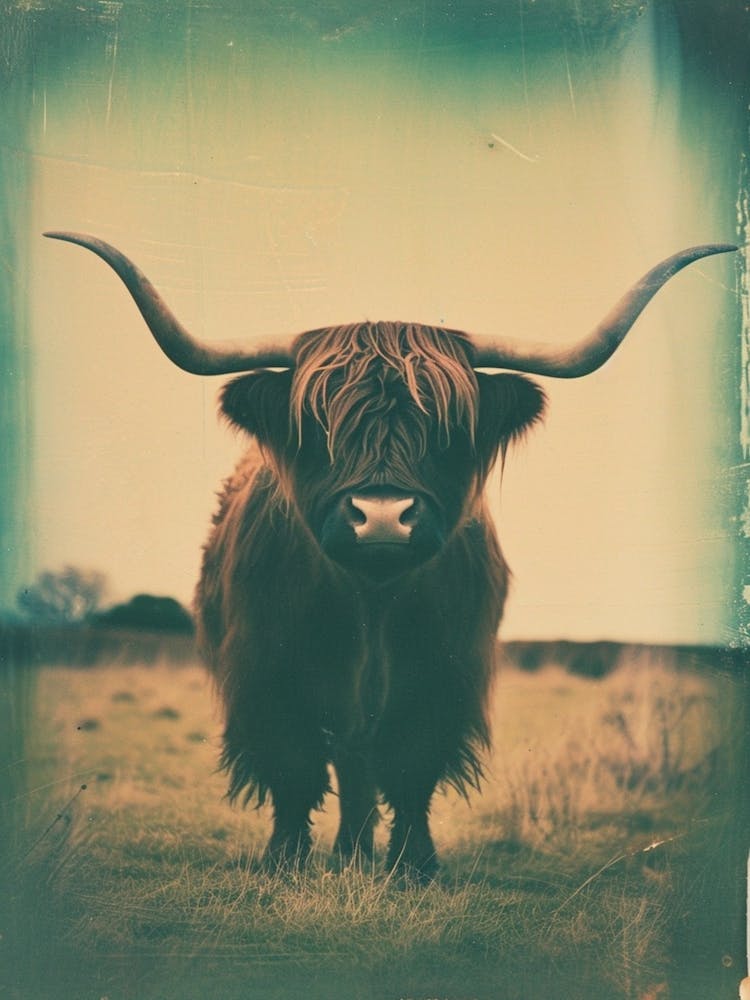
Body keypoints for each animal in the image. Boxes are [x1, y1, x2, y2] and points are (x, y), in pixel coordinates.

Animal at [44, 231, 735, 880]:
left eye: (447, 430)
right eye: (319, 427)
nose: (381, 516)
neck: (369, 606)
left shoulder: (441, 677)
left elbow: (410, 769)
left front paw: (413, 866)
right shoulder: (267, 674)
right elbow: (294, 769)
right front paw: (285, 860)